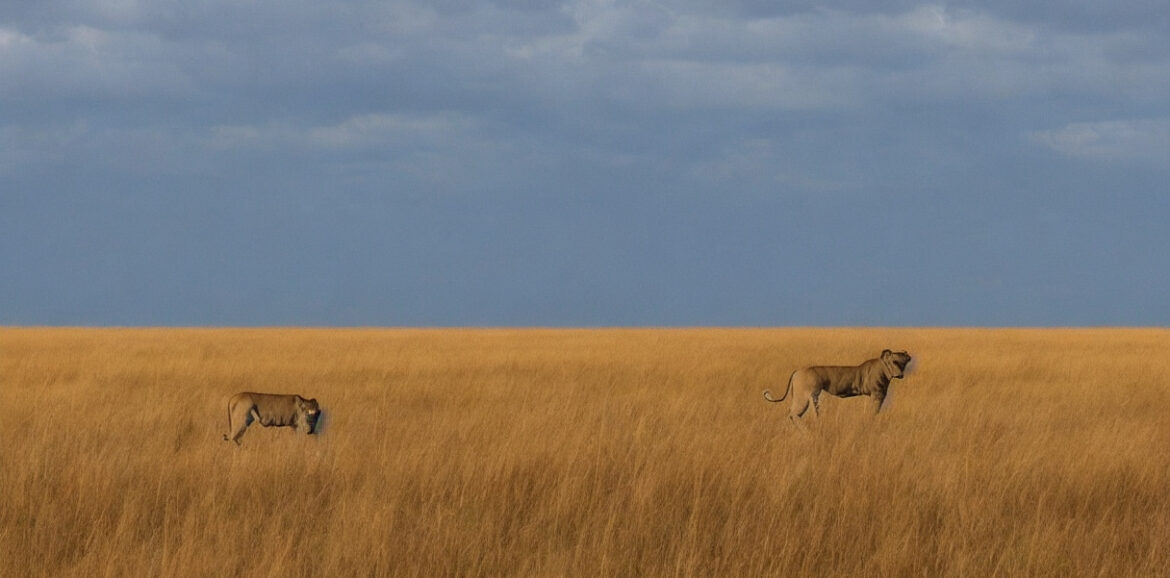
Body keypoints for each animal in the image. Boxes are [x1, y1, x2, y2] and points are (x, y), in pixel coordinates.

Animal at [762, 348, 917, 423]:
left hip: (800, 396)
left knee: (792, 413)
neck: (885, 369)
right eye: (895, 362)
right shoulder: (877, 394)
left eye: (904, 363)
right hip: (806, 396)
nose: (900, 374)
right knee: (794, 413)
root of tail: (797, 371)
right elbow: (874, 411)